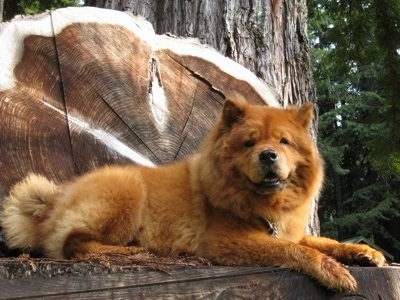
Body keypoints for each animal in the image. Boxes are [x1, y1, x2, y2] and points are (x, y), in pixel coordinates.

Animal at [1, 98, 386, 290]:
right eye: (250, 143)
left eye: (283, 142)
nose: (268, 155)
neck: (265, 204)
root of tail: (55, 198)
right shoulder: (228, 242)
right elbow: (296, 250)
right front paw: (334, 271)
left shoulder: (286, 231)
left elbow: (321, 242)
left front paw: (364, 252)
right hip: (128, 187)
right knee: (73, 243)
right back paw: (131, 251)